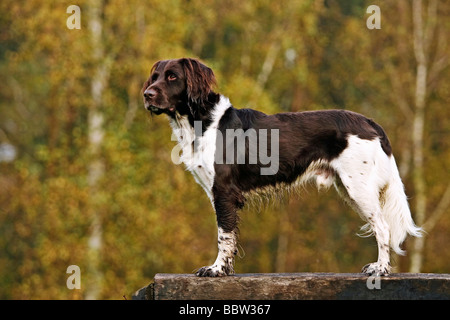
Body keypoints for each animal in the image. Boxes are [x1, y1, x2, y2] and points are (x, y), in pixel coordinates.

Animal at [142, 57, 424, 278]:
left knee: (383, 228)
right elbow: (229, 236)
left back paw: (380, 269)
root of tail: (370, 122)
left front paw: (216, 270)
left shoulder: (223, 192)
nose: (147, 95)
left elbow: (224, 236)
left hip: (359, 187)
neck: (201, 122)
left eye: (172, 76)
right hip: (349, 188)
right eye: (154, 77)